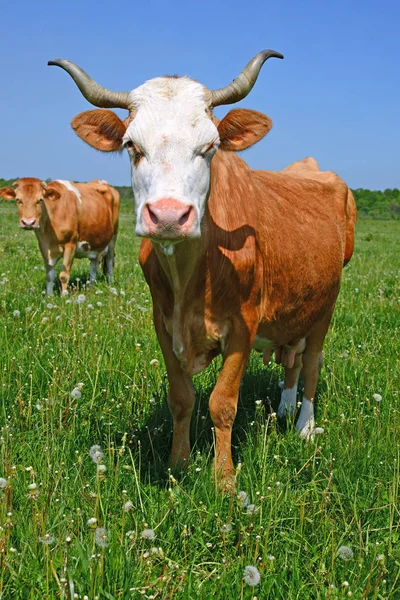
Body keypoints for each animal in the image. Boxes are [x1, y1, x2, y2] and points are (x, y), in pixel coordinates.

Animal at [48, 49, 358, 486]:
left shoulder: (244, 325)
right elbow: (181, 398)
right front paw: (178, 463)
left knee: (311, 363)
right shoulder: (162, 323)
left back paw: (304, 426)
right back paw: (283, 409)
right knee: (293, 362)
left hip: (326, 304)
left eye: (210, 146)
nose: (168, 216)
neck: (190, 278)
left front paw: (223, 479)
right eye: (131, 144)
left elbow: (222, 403)